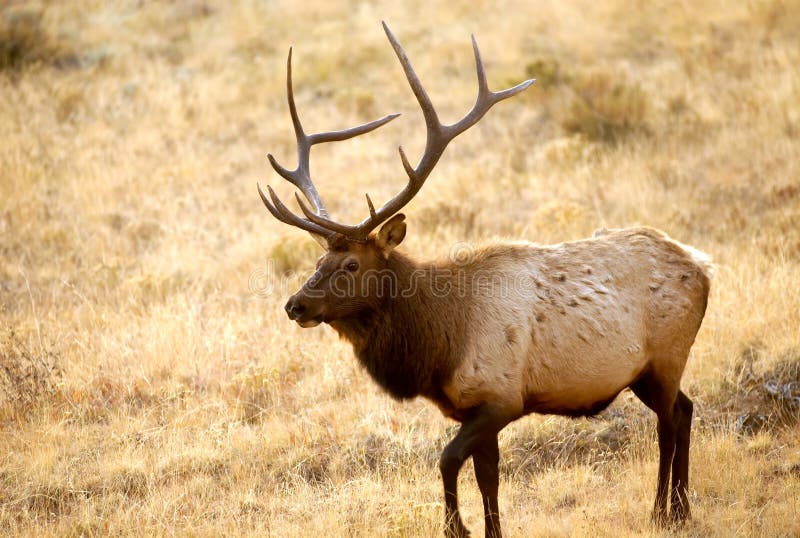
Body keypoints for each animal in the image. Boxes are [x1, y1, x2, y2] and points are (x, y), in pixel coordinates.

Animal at [258, 22, 712, 536]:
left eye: (351, 264)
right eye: (319, 260)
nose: (295, 304)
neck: (440, 344)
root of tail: (703, 268)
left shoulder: (501, 398)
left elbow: (447, 460)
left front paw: (457, 527)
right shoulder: (476, 406)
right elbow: (488, 478)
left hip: (667, 356)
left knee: (670, 420)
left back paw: (664, 511)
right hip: (644, 372)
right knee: (686, 409)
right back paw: (679, 507)